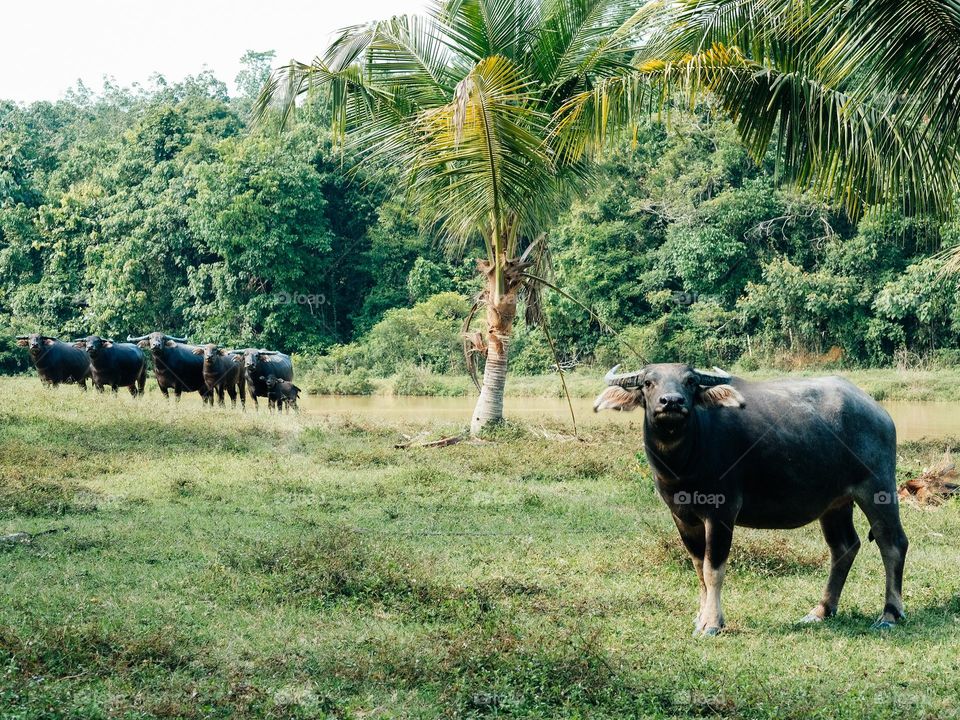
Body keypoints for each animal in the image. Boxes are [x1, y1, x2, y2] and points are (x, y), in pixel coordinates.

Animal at [592, 366, 908, 636]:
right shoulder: (682, 517)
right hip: (835, 504)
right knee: (844, 546)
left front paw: (712, 623)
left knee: (892, 542)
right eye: (648, 382)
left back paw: (889, 614)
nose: (671, 402)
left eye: (690, 381)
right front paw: (700, 617)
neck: (684, 462)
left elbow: (713, 569)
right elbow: (698, 567)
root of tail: (878, 412)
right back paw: (820, 611)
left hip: (878, 488)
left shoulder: (721, 512)